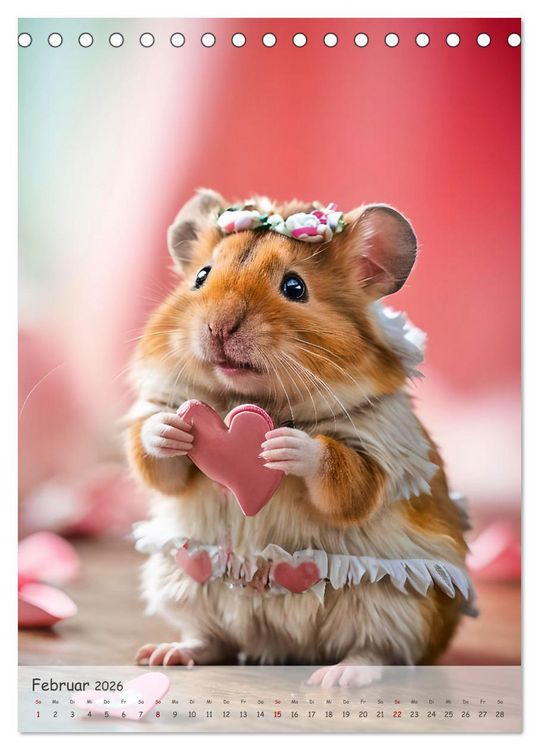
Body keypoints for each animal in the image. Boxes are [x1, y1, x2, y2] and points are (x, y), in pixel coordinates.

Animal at [126, 188, 473, 680]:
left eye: (295, 287)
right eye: (201, 276)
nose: (218, 327)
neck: (250, 399)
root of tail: (281, 648)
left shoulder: (381, 444)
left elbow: (345, 475)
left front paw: (282, 445)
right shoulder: (164, 424)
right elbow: (157, 458)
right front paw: (171, 427)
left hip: (397, 606)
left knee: (381, 651)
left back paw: (339, 676)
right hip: (183, 580)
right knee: (211, 638)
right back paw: (165, 653)